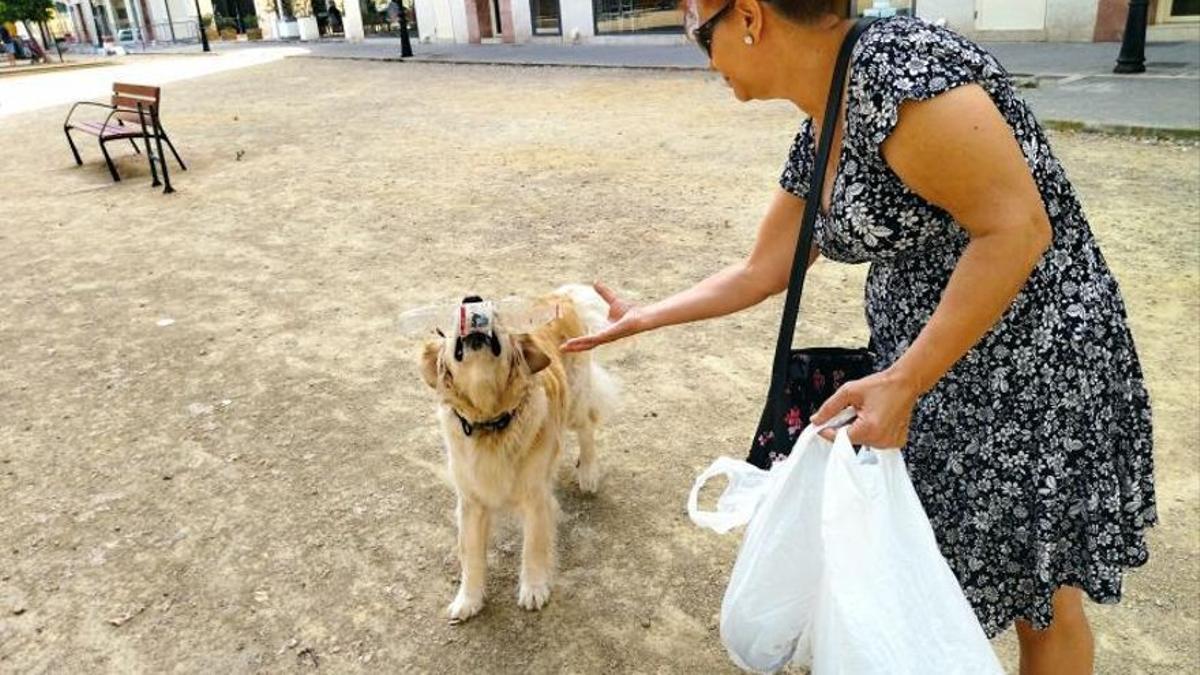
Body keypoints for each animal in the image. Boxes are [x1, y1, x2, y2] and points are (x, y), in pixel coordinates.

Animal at [417, 282, 619, 619]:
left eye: (498, 313)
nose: (472, 299)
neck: (491, 420)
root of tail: (560, 296)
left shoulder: (535, 496)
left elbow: (533, 547)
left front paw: (534, 589)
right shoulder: (471, 502)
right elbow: (471, 556)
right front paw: (468, 600)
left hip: (576, 399)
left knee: (587, 427)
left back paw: (588, 473)